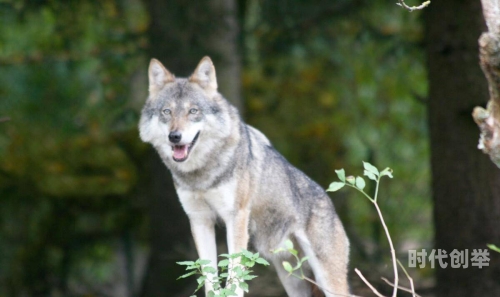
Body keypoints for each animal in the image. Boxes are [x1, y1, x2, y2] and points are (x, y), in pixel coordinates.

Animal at [137, 56, 348, 296]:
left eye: (193, 111)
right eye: (166, 112)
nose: (175, 136)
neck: (201, 176)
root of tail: (329, 201)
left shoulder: (236, 217)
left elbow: (234, 273)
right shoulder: (199, 220)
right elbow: (209, 277)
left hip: (327, 280)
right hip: (291, 278)